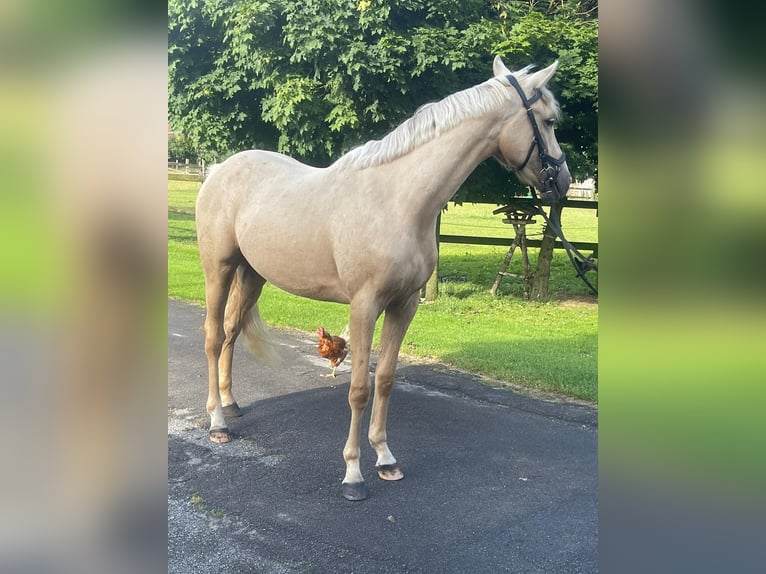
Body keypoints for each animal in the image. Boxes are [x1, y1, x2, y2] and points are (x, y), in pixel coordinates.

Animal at [198, 56, 568, 502]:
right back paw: (217, 423)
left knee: (232, 333)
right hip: (218, 269)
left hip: (251, 275)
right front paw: (353, 474)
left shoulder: (403, 305)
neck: (398, 202)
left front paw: (386, 459)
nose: (562, 182)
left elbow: (387, 379)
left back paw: (231, 403)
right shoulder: (364, 306)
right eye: (548, 120)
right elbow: (359, 388)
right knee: (214, 337)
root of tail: (220, 169)